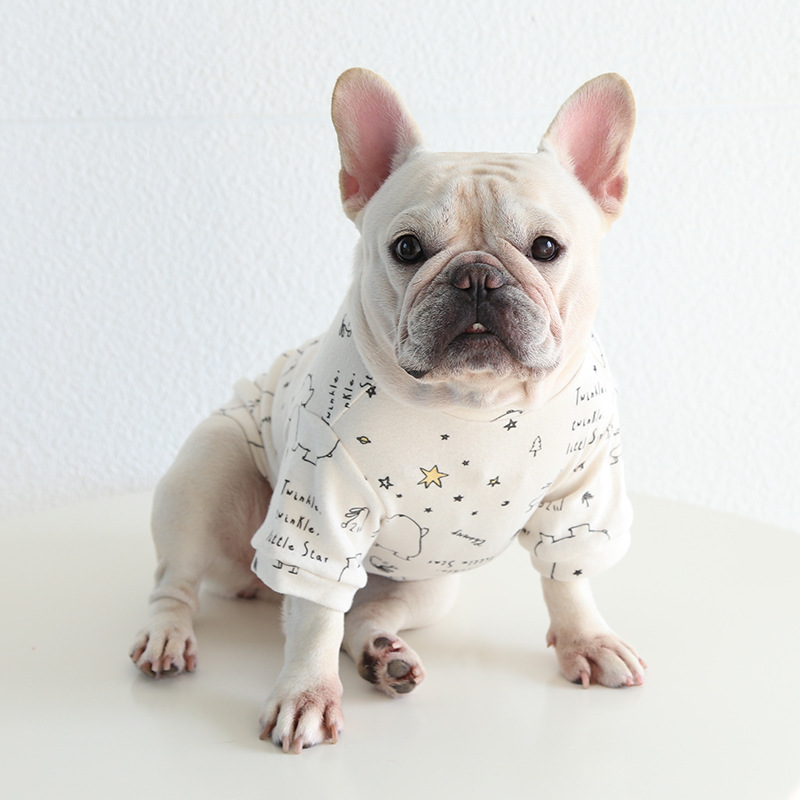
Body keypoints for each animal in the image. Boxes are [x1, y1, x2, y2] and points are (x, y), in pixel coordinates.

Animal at [130, 68, 645, 753]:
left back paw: (384, 655)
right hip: (206, 472)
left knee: (362, 612)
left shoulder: (581, 491)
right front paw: (306, 694)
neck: (474, 400)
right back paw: (168, 636)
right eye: (406, 248)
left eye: (545, 247)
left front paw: (586, 640)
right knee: (183, 581)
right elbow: (315, 616)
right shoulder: (321, 506)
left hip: (432, 583)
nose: (476, 277)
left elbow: (570, 574)